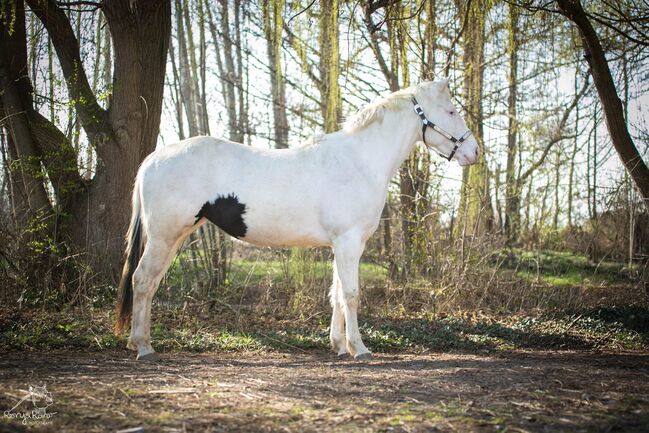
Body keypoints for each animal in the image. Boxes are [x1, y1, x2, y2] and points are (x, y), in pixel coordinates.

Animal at [114, 80, 479, 361]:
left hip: (173, 238)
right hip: (164, 237)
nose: (474, 152)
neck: (359, 160)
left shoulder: (344, 244)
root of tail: (153, 158)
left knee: (149, 283)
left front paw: (339, 345)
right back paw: (144, 347)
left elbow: (336, 293)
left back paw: (137, 341)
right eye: (450, 111)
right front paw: (359, 348)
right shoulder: (348, 242)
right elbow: (351, 294)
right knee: (142, 281)